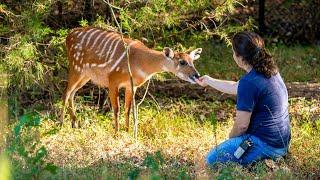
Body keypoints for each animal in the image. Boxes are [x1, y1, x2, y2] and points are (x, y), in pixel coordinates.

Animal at [61, 26, 201, 131]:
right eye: (182, 62)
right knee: (66, 92)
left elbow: (127, 109)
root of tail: (68, 37)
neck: (139, 63)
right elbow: (116, 109)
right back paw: (61, 123)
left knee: (72, 93)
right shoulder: (113, 80)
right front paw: (116, 132)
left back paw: (74, 123)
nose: (197, 75)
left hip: (85, 75)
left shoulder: (131, 86)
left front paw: (128, 131)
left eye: (192, 61)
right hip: (76, 68)